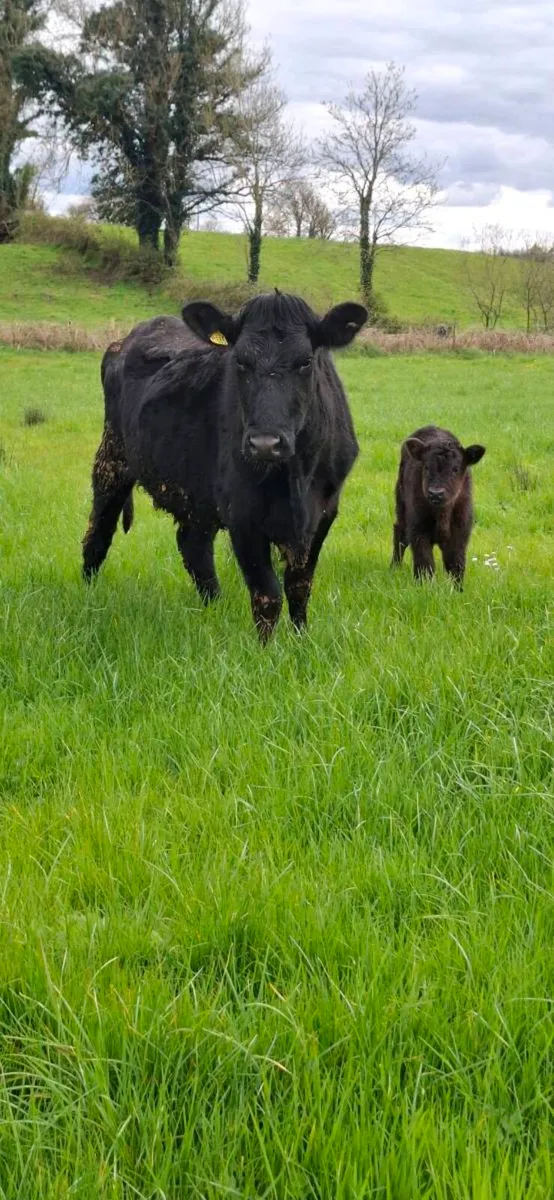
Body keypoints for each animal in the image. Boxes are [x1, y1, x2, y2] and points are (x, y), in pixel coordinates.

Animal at [82, 291, 367, 640]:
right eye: (240, 362)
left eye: (305, 362)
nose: (265, 443)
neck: (294, 478)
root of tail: (125, 340)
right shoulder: (242, 514)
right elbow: (267, 594)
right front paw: (266, 648)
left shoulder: (324, 512)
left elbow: (300, 586)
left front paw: (301, 638)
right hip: (112, 459)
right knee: (98, 533)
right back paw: (89, 598)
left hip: (195, 490)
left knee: (194, 547)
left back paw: (213, 608)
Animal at [391, 425, 486, 588]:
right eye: (427, 467)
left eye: (455, 469)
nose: (436, 493)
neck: (442, 514)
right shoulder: (418, 529)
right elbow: (425, 563)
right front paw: (424, 588)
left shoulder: (460, 532)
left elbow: (456, 563)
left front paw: (458, 589)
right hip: (401, 506)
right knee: (400, 534)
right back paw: (394, 567)